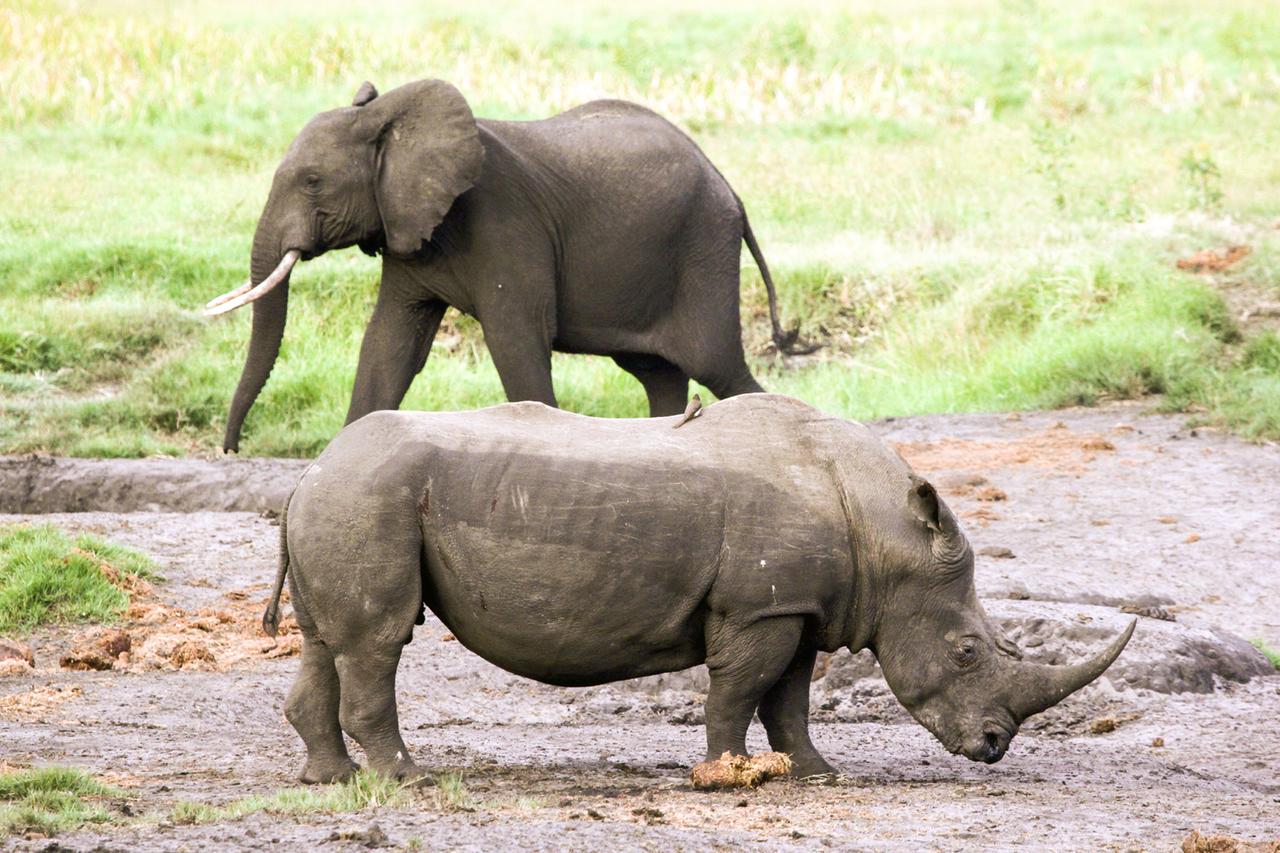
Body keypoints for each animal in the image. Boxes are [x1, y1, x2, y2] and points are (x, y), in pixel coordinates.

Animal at [205, 78, 808, 453]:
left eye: (312, 182)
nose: (231, 448)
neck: (388, 119)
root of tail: (729, 186)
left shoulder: (505, 225)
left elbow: (517, 341)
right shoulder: (406, 227)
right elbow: (389, 345)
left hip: (703, 248)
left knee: (718, 365)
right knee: (658, 374)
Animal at [262, 394, 1135, 783]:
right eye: (965, 651)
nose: (994, 745)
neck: (881, 529)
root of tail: (307, 475)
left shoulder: (798, 605)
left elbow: (790, 697)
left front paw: (815, 773)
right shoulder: (759, 606)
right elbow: (740, 688)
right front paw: (726, 769)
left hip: (348, 498)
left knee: (326, 641)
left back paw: (330, 779)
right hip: (370, 496)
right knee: (379, 640)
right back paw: (405, 776)